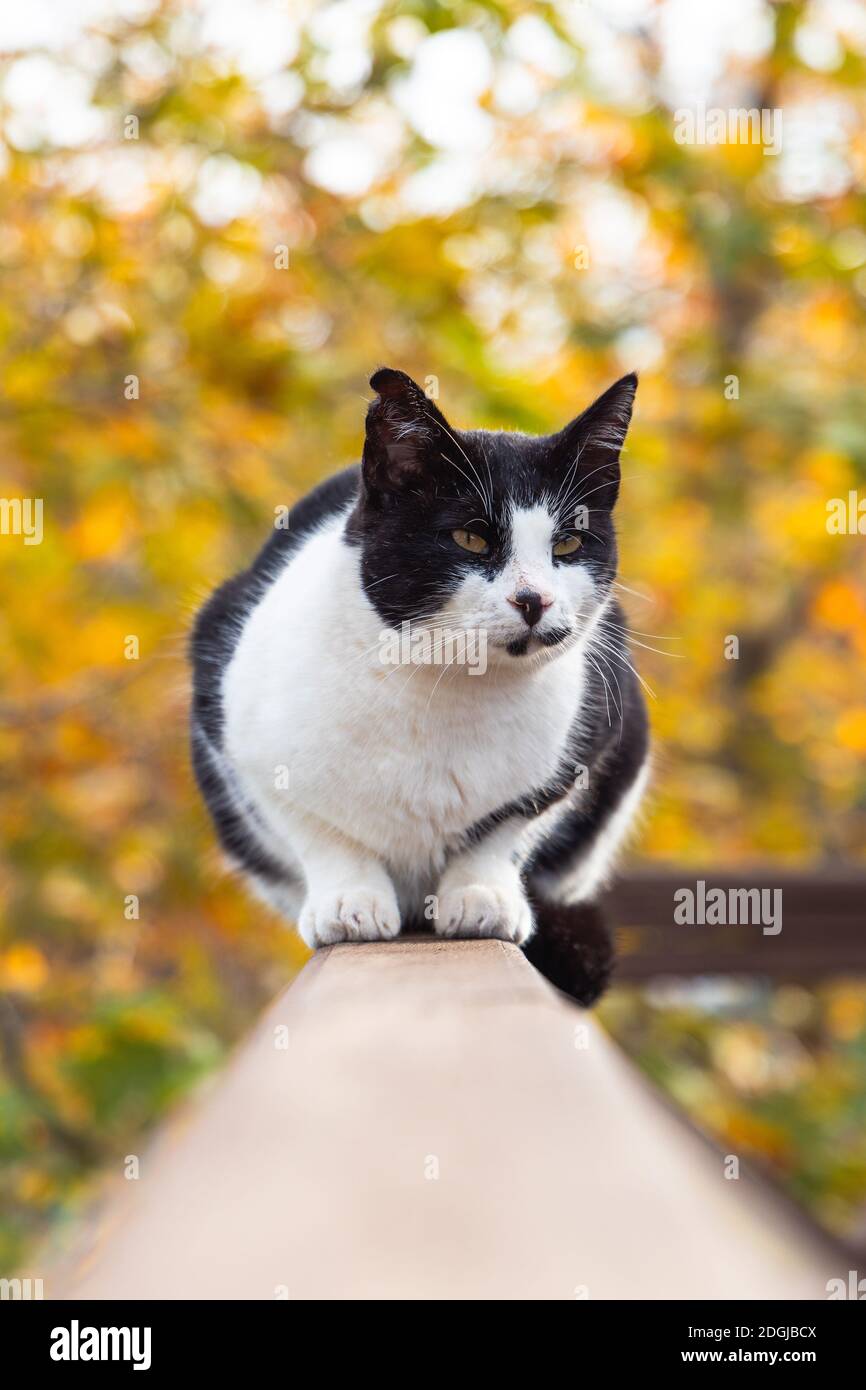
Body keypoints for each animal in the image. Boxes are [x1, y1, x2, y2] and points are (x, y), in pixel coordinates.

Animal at [191, 366, 650, 1000]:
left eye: (568, 544)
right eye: (471, 539)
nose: (534, 598)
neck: (445, 690)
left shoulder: (587, 741)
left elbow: (509, 826)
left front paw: (479, 894)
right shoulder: (242, 746)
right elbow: (316, 830)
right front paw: (349, 901)